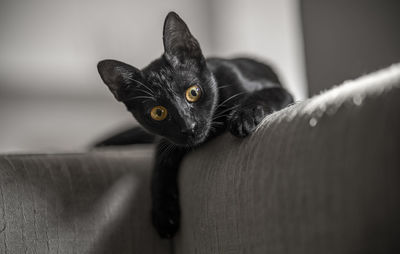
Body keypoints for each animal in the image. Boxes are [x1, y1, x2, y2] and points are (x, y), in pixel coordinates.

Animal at [95, 11, 292, 238]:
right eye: (158, 112)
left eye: (193, 92)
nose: (189, 126)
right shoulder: (165, 142)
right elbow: (159, 166)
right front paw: (164, 212)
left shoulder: (275, 90)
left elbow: (262, 95)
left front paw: (244, 117)